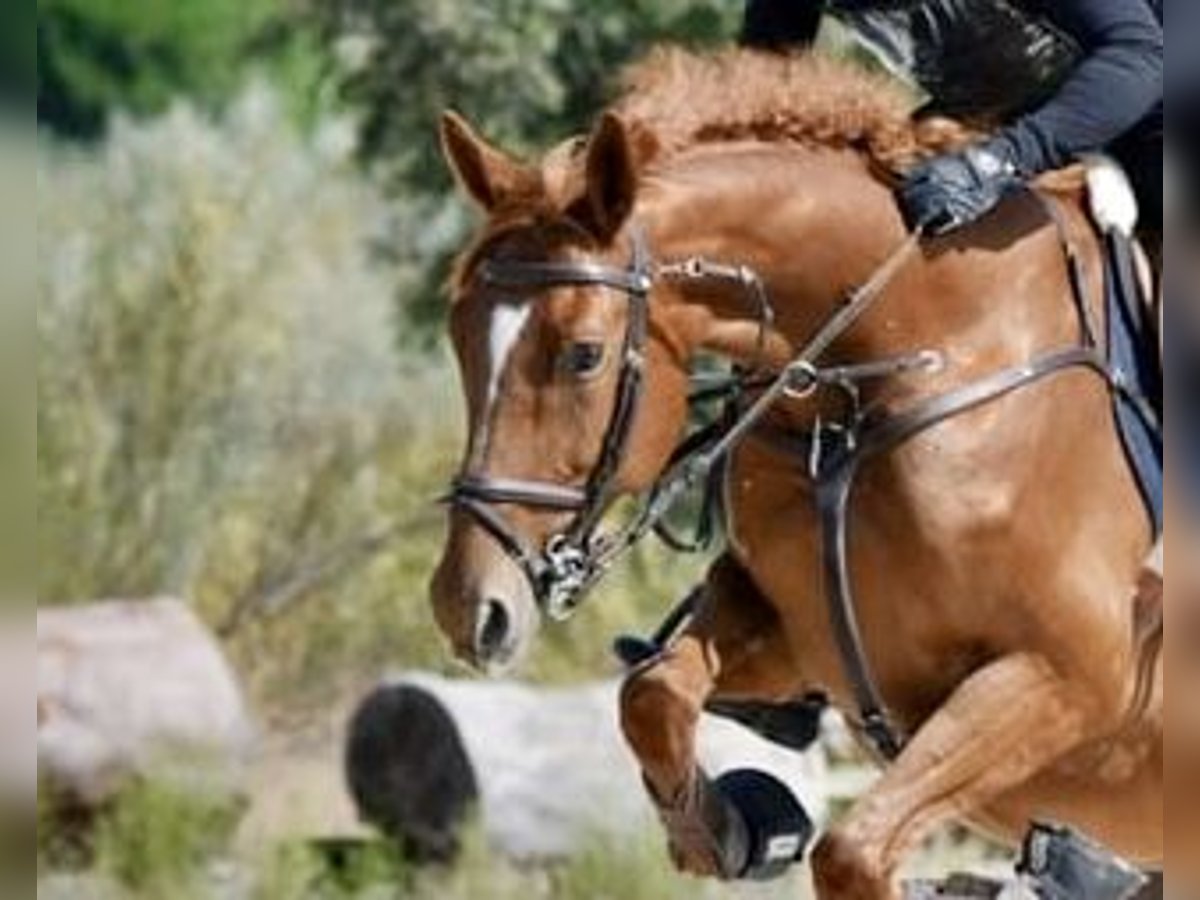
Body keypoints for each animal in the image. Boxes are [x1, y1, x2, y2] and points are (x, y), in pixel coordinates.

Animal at [429, 49, 1170, 899]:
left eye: (584, 355)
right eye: (458, 335)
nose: (467, 608)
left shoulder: (1068, 675)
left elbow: (853, 852)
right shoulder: (791, 629)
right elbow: (651, 694)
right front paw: (725, 832)